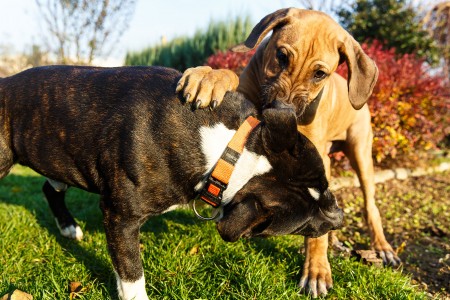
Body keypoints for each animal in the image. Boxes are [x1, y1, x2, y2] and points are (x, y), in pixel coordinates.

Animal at [176, 7, 400, 298]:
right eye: (281, 56)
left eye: (319, 74)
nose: (281, 110)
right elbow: (231, 77)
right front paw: (210, 77)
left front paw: (316, 270)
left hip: (361, 152)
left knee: (369, 204)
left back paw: (382, 247)